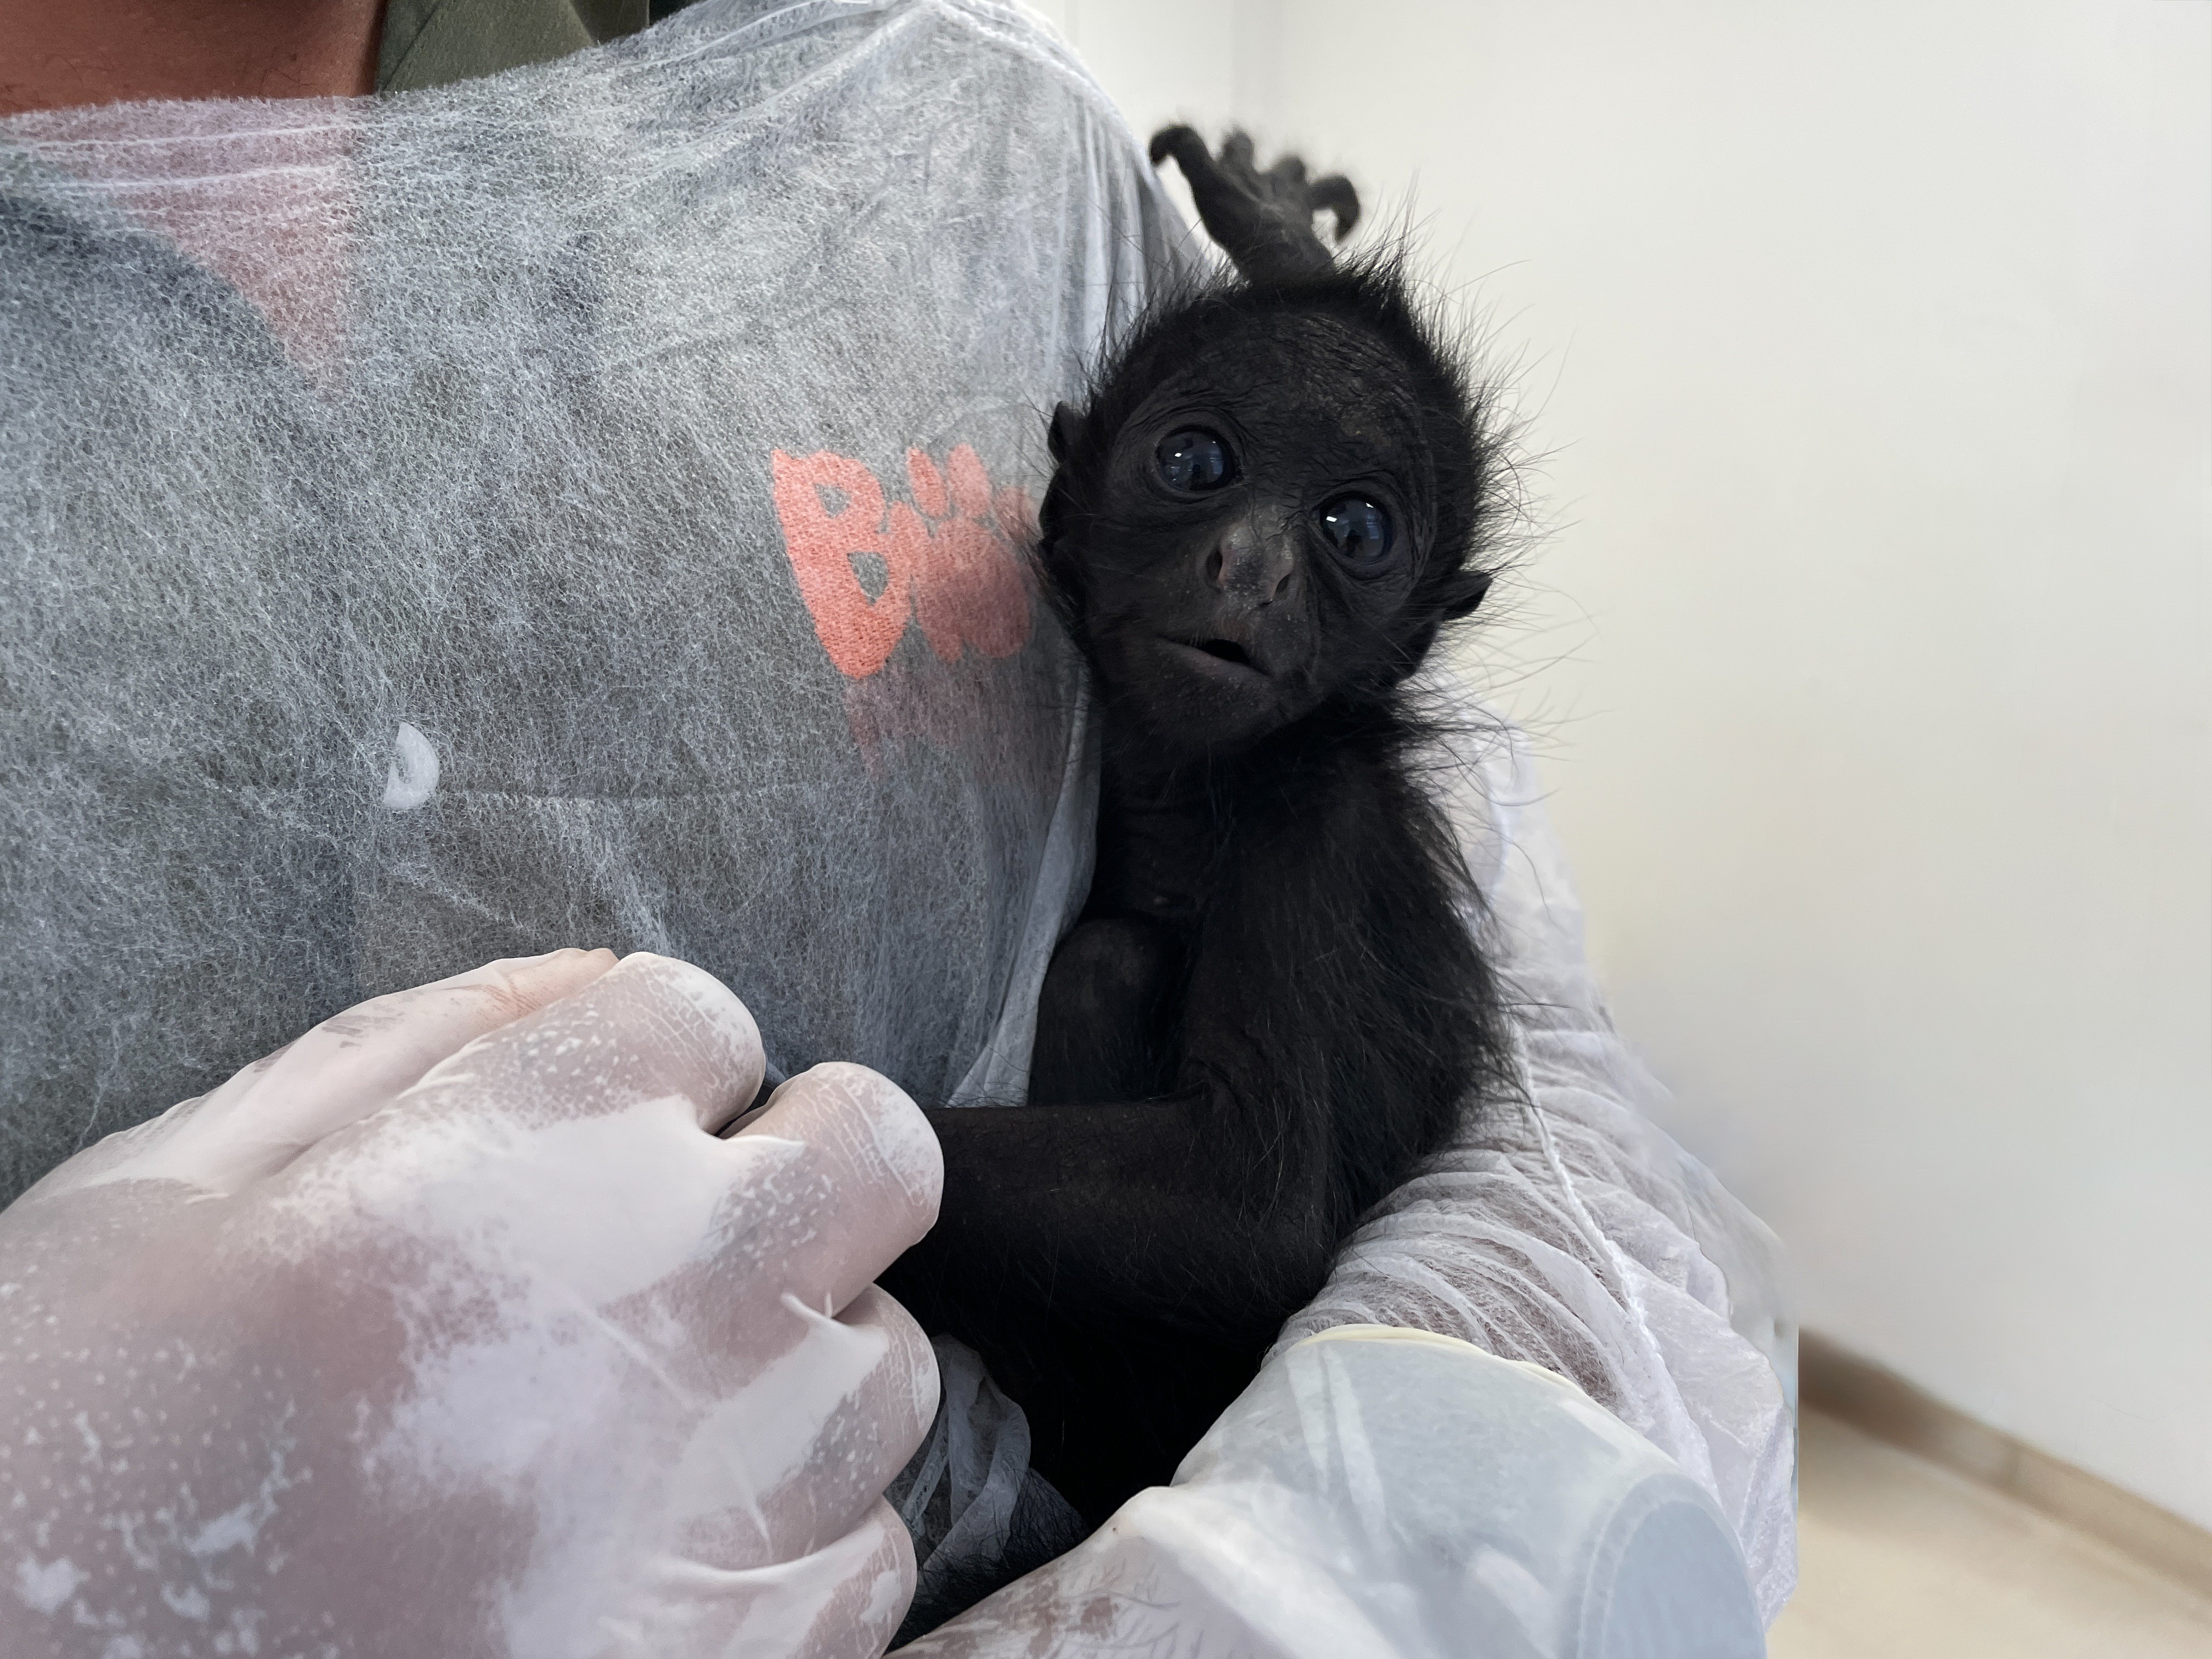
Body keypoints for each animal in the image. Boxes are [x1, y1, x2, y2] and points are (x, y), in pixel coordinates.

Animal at [889, 126, 1513, 1531]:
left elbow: (1252, 1206)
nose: (1256, 567)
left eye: (1353, 528)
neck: (1196, 790)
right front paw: (1276, 228)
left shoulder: (1318, 820)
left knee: (1104, 963)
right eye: (1195, 466)